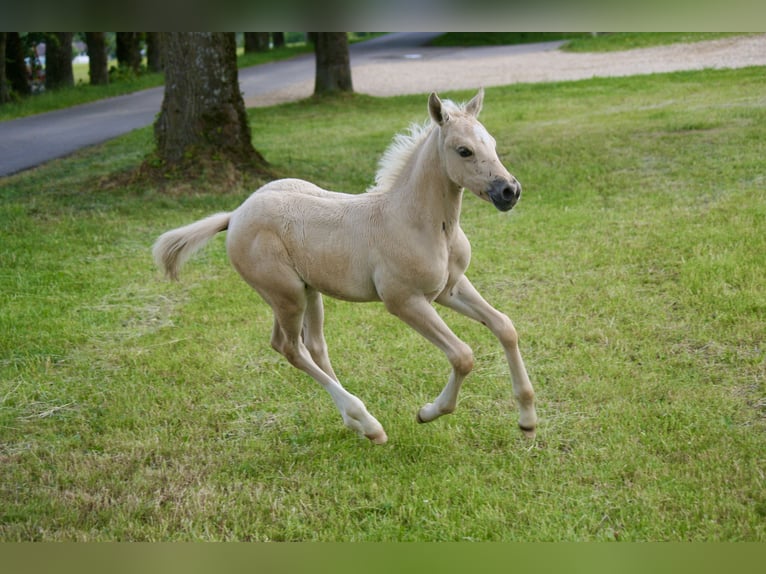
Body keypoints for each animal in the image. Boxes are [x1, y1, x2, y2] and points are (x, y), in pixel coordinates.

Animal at [152, 89, 537, 445]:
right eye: (463, 151)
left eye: (493, 143)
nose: (509, 191)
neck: (417, 221)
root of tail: (235, 215)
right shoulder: (404, 301)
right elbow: (462, 356)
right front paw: (428, 412)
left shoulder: (449, 288)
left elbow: (505, 326)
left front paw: (528, 420)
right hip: (285, 294)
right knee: (290, 347)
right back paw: (368, 423)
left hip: (308, 291)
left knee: (313, 346)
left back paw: (356, 423)